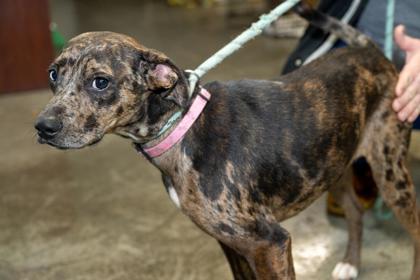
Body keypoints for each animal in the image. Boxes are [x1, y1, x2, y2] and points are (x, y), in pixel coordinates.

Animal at [35, 2, 420, 280]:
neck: (184, 129)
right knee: (354, 210)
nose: (42, 127)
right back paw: (350, 263)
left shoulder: (271, 243)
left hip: (390, 171)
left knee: (415, 228)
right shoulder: (232, 243)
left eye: (100, 82)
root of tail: (369, 51)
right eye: (53, 74)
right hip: (331, 164)